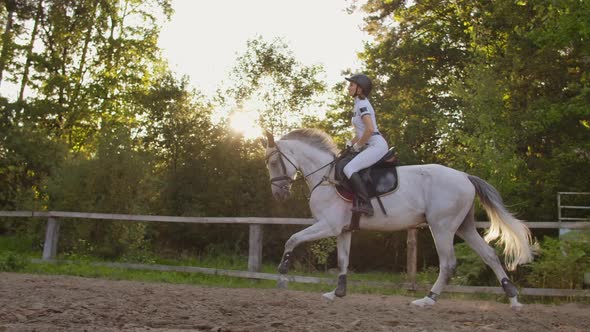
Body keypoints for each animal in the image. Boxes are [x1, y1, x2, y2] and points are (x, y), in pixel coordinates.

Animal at [264, 129, 536, 308]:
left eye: (275, 161)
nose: (278, 194)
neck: (327, 177)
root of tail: (464, 175)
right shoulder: (343, 230)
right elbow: (342, 261)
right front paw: (337, 293)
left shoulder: (327, 226)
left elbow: (292, 238)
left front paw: (282, 273)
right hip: (463, 226)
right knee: (489, 255)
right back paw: (513, 298)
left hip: (441, 227)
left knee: (448, 264)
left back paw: (427, 299)